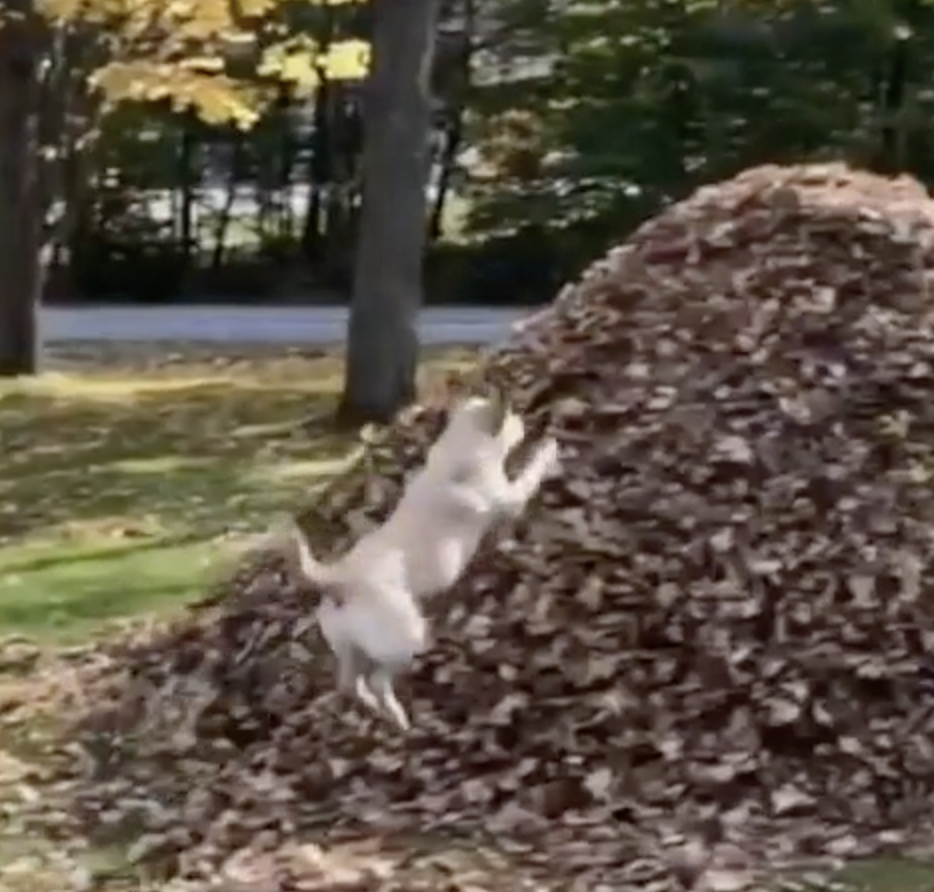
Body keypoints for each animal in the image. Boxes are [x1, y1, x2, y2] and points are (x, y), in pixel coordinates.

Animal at [288, 390, 560, 732]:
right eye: (513, 419)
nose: (526, 422)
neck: (458, 450)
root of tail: (339, 579)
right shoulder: (510, 498)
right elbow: (528, 474)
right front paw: (548, 449)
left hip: (352, 649)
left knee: (351, 683)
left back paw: (381, 712)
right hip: (405, 640)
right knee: (377, 680)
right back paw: (398, 716)